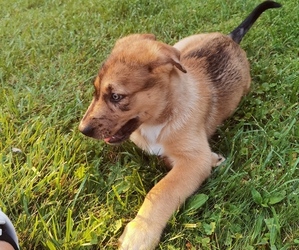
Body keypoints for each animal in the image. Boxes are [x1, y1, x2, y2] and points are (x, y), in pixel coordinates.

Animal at [79, 0, 282, 249]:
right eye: (95, 92)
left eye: (116, 96)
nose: (83, 130)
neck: (161, 117)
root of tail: (229, 38)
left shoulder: (193, 160)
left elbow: (161, 190)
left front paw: (139, 233)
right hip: (181, 47)